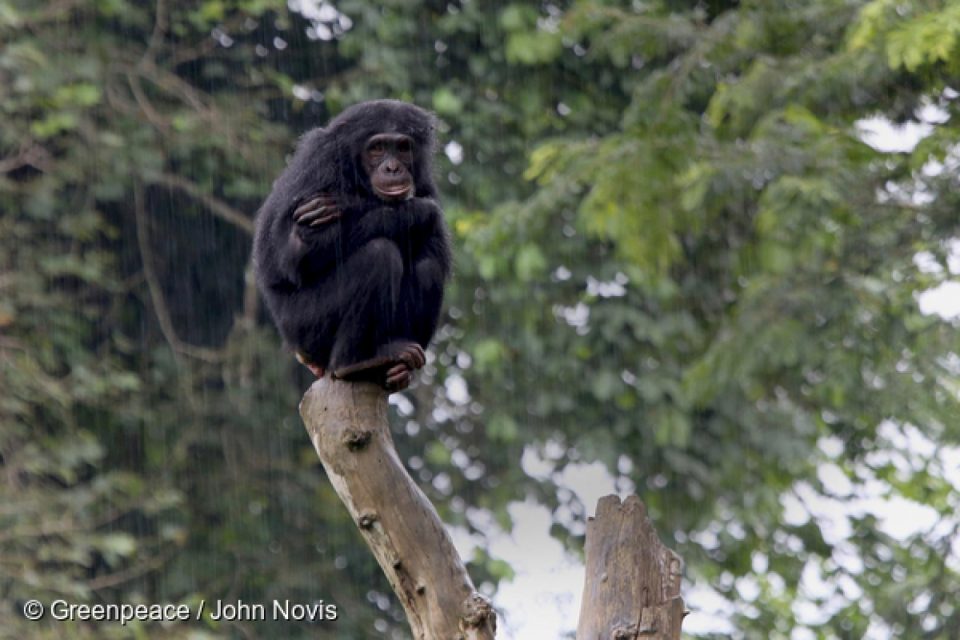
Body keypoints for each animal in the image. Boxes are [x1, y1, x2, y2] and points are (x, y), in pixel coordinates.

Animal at [253, 100, 452, 390]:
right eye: (377, 148)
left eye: (403, 147)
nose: (392, 168)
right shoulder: (318, 162)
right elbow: (296, 251)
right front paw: (348, 205)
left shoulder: (424, 178)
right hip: (307, 328)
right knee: (378, 256)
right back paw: (353, 363)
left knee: (428, 266)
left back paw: (398, 367)